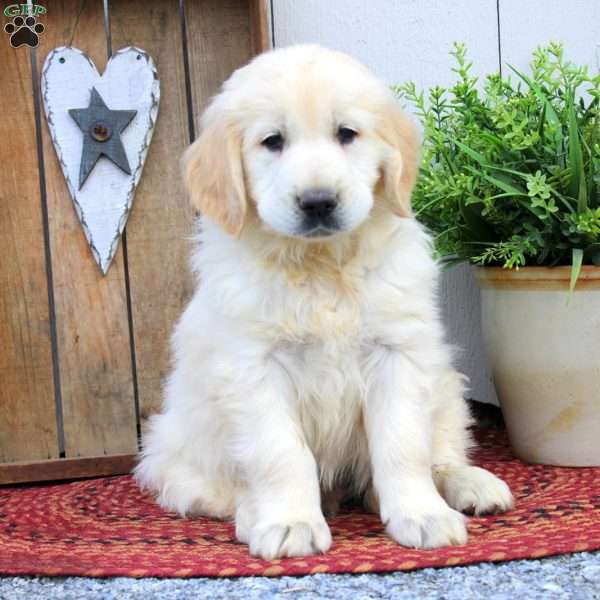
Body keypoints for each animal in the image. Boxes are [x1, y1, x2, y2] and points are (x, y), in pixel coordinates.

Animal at [136, 44, 510, 560]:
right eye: (272, 141)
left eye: (346, 134)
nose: (318, 202)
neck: (321, 265)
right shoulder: (255, 368)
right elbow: (280, 453)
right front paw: (290, 522)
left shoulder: (398, 354)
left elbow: (402, 445)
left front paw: (421, 513)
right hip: (178, 445)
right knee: (222, 490)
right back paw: (256, 514)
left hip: (447, 385)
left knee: (438, 454)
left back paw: (470, 484)